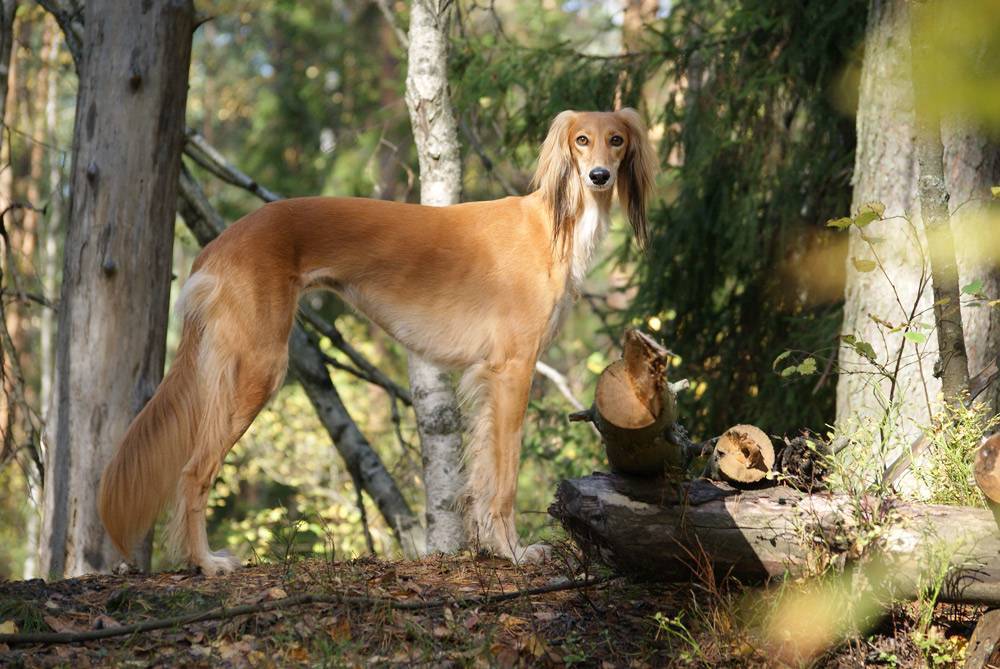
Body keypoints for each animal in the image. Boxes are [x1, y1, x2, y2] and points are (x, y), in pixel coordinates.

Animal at [94, 109, 656, 576]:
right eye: (581, 140)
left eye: (617, 140)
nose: (599, 177)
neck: (554, 225)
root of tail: (218, 244)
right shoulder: (513, 369)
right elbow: (506, 476)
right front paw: (514, 553)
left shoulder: (488, 378)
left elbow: (481, 473)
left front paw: (491, 549)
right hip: (257, 366)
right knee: (193, 470)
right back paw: (206, 563)